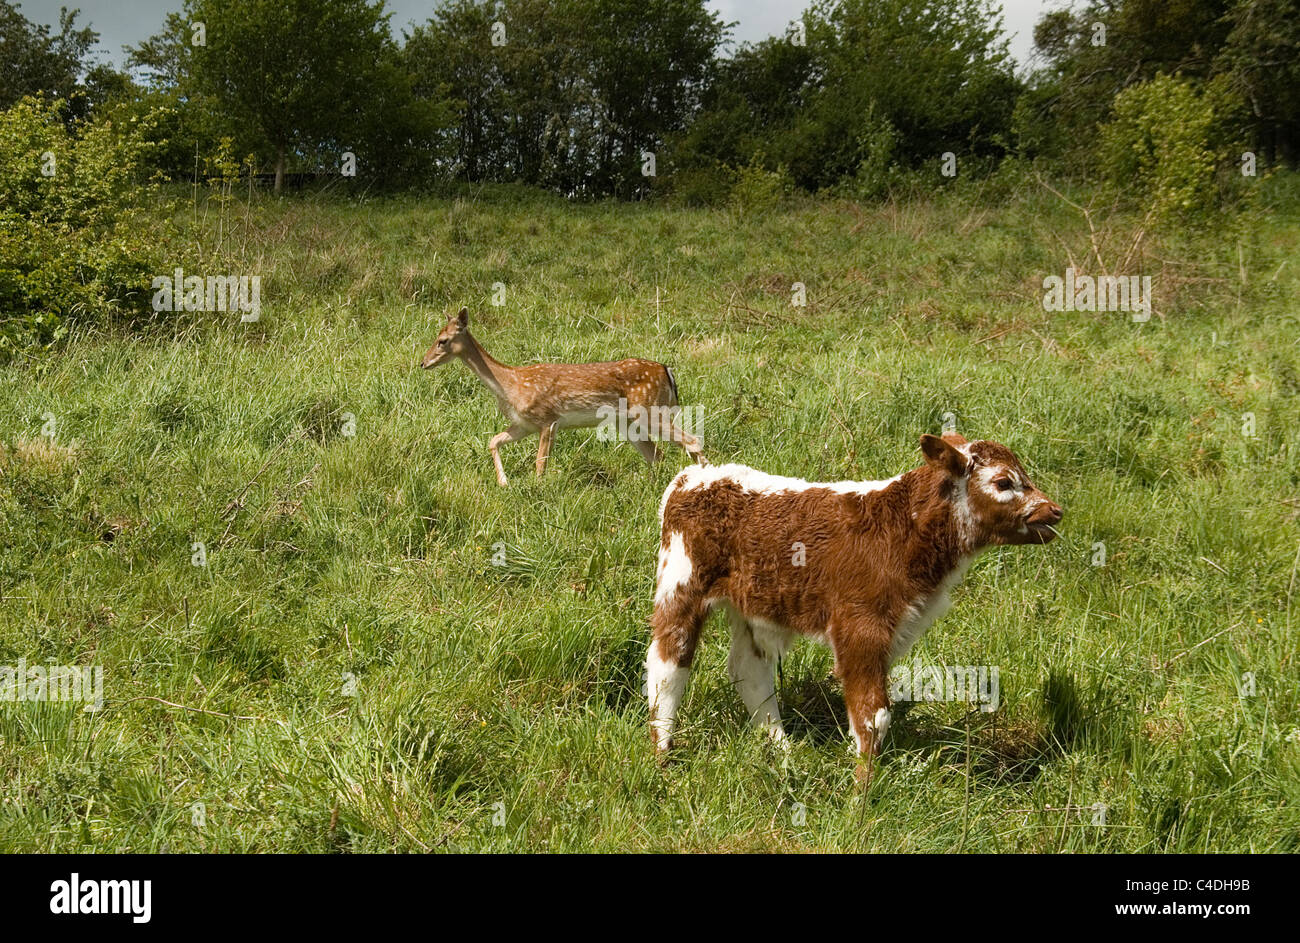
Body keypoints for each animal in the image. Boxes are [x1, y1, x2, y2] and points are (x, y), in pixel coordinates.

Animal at [421, 309, 707, 486]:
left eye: (443, 340)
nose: (423, 363)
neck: (510, 384)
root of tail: (667, 371)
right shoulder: (524, 424)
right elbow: (494, 441)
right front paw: (504, 482)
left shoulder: (548, 418)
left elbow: (540, 464)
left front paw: (536, 492)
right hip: (628, 423)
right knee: (657, 455)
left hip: (650, 410)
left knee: (692, 441)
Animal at [644, 431, 1060, 780]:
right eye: (1004, 482)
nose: (1054, 511)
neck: (902, 528)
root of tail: (700, 475)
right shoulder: (860, 626)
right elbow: (873, 715)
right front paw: (862, 791)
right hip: (680, 583)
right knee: (668, 662)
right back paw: (662, 754)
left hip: (757, 605)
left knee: (749, 670)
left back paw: (782, 749)